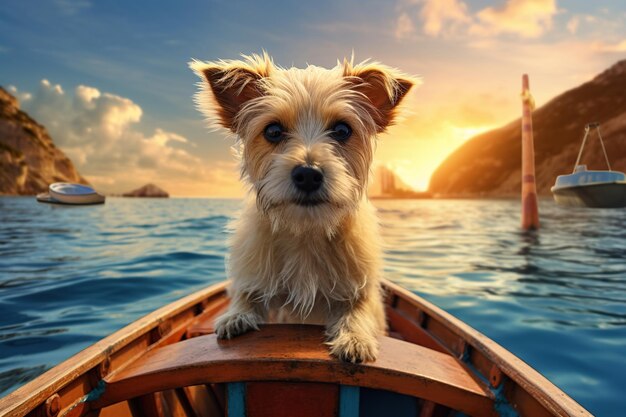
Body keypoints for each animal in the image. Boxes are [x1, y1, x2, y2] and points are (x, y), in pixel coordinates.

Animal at [190, 53, 414, 362]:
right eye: (273, 130)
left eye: (342, 130)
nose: (308, 174)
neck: (305, 231)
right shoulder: (254, 274)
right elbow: (246, 295)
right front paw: (235, 316)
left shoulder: (360, 289)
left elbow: (358, 310)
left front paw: (354, 337)